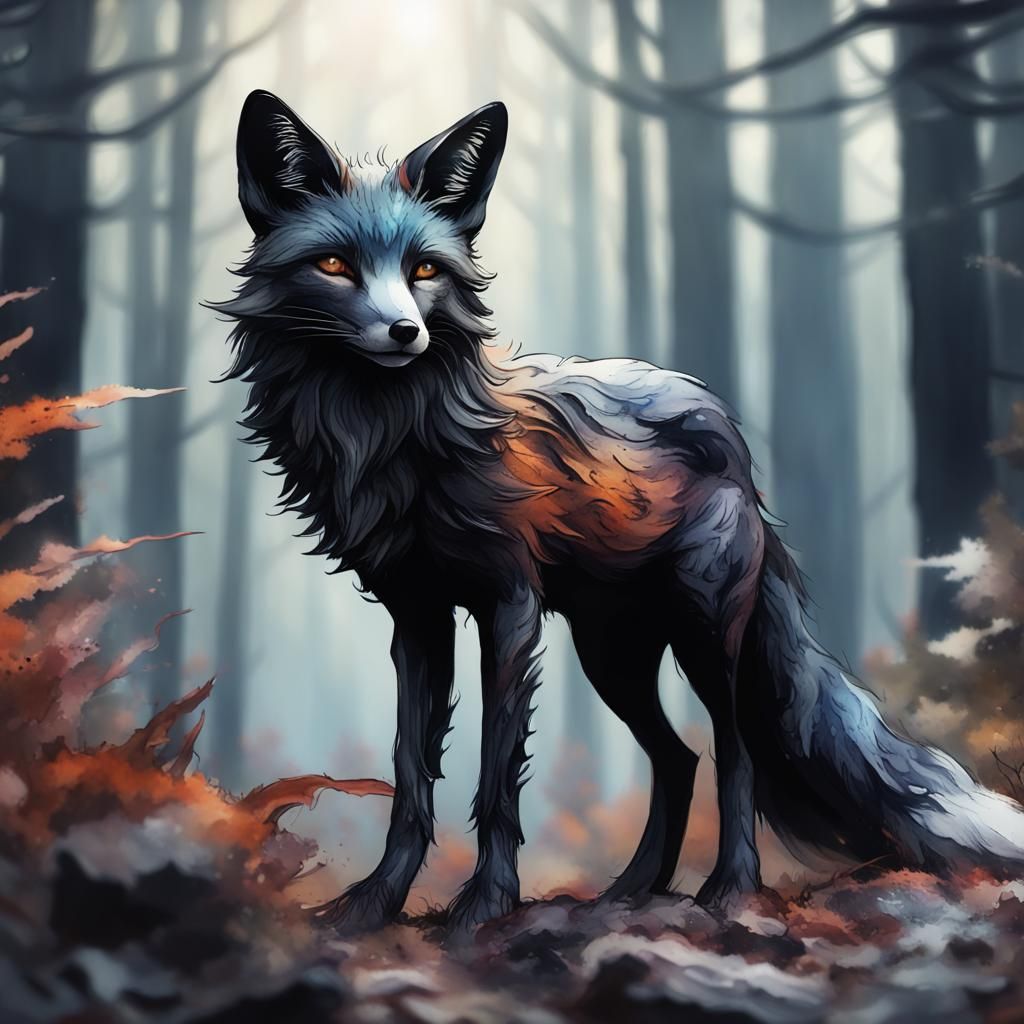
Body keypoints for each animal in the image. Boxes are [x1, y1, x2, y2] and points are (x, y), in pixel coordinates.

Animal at [216, 90, 1024, 932]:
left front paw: (486, 906)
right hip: (613, 654)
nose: (408, 331)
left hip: (703, 636)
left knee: (733, 752)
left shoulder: (509, 607)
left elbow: (496, 777)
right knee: (678, 756)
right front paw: (374, 903)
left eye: (425, 269)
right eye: (335, 264)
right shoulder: (417, 616)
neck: (392, 436)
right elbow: (412, 776)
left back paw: (728, 890)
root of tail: (732, 440)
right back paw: (631, 890)